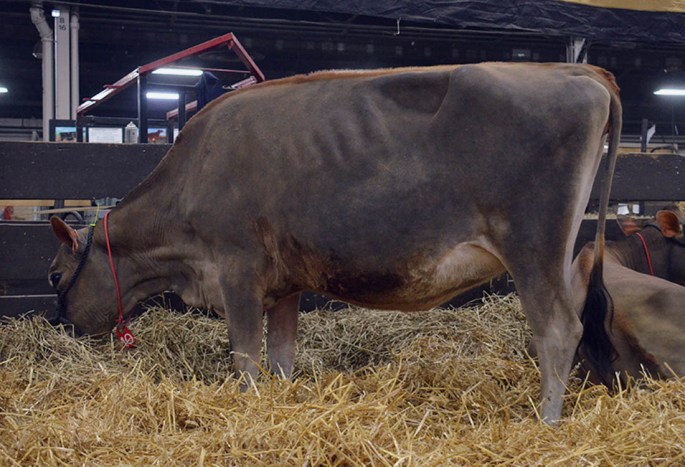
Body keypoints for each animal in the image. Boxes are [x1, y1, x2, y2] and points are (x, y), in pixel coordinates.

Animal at [47, 63, 621, 425]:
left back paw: (545, 422)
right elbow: (281, 355)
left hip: (531, 247)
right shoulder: (283, 283)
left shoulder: (237, 268)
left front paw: (249, 404)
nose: (62, 327)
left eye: (54, 275)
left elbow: (245, 357)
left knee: (557, 330)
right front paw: (279, 401)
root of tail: (580, 72)